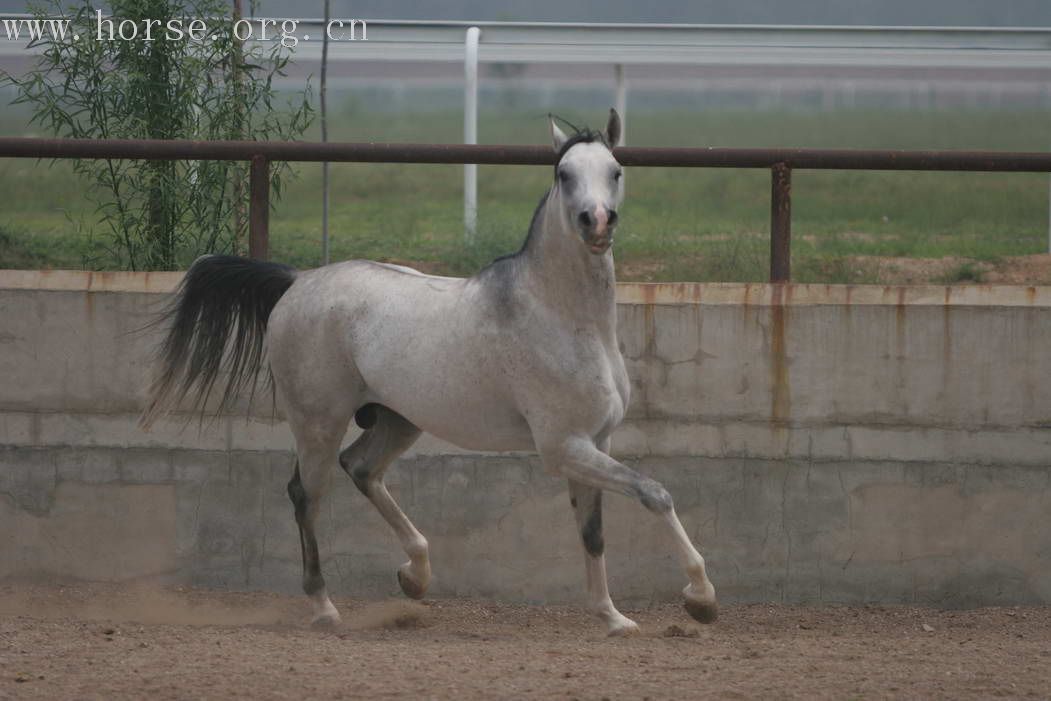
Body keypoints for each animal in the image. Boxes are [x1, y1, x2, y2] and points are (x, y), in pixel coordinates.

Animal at [141, 110, 714, 634]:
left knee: (362, 468)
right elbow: (654, 492)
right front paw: (700, 598)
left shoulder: (595, 442)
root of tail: (297, 282)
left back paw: (414, 575)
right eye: (563, 173)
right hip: (318, 422)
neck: (563, 316)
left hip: (398, 419)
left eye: (615, 170)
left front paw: (613, 618)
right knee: (306, 495)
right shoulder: (563, 447)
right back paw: (325, 608)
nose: (596, 222)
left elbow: (593, 532)